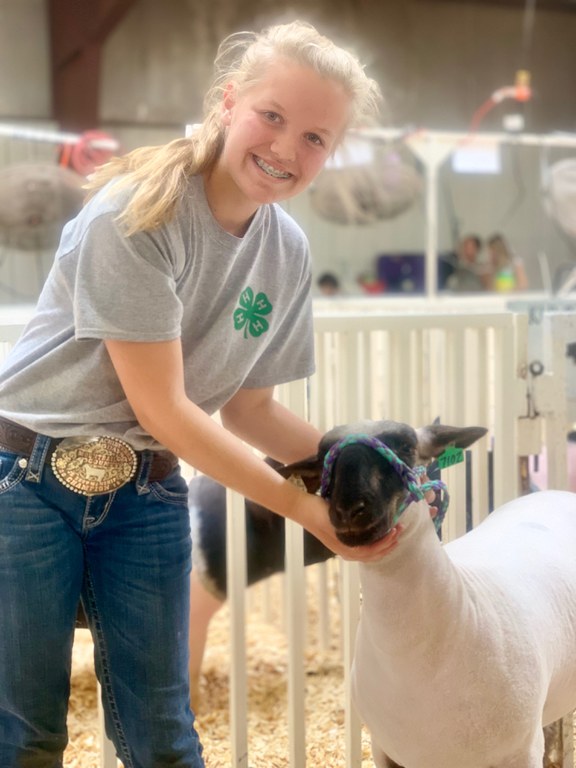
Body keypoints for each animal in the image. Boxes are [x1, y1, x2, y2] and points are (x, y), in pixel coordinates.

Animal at [286, 420, 576, 768]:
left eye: (405, 447)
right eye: (323, 457)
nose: (349, 509)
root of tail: (552, 493)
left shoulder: (521, 752)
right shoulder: (384, 749)